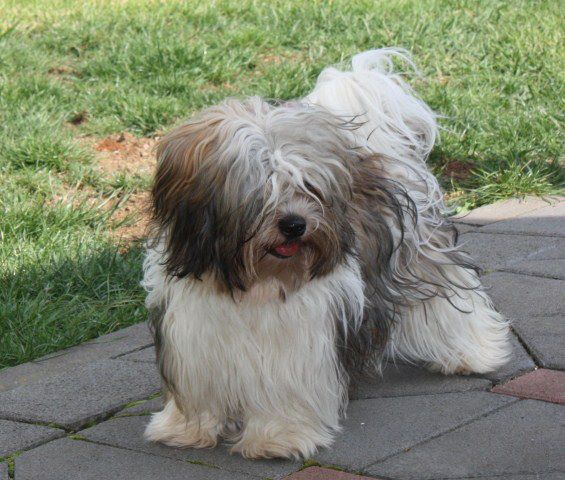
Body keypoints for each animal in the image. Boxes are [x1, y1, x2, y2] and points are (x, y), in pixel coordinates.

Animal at [142, 49, 512, 462]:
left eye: (308, 186)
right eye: (262, 191)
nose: (294, 224)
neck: (255, 281)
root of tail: (379, 156)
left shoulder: (297, 341)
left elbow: (284, 390)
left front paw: (278, 437)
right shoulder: (192, 335)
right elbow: (198, 391)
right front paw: (185, 429)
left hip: (418, 261)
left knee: (452, 298)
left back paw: (475, 353)